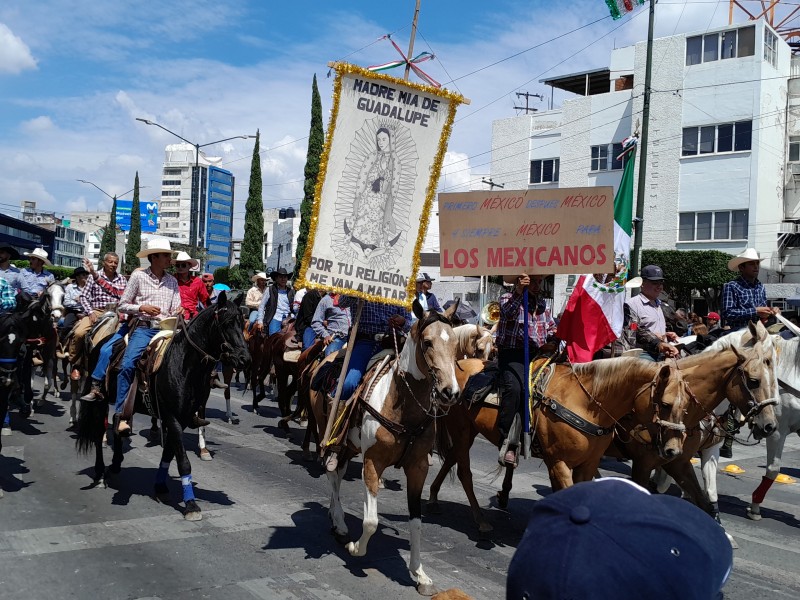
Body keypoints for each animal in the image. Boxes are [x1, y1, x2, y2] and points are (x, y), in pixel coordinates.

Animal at [76, 292, 250, 520]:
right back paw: (100, 475)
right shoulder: (172, 417)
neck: (183, 364)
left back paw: (115, 463)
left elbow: (169, 453)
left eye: (243, 323)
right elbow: (183, 460)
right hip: (101, 401)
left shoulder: (181, 419)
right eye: (227, 323)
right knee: (98, 435)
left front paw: (160, 487)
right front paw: (191, 505)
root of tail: (101, 342)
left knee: (118, 422)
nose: (245, 359)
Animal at [310, 302, 462, 596]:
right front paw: (355, 548)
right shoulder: (372, 462)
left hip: (349, 446)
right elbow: (371, 522)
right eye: (427, 342)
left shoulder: (418, 468)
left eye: (455, 344)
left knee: (338, 474)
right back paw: (341, 525)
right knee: (332, 473)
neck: (401, 405)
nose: (450, 392)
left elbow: (416, 522)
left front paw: (420, 575)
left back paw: (336, 518)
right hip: (329, 435)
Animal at [428, 354, 692, 532]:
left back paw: (433, 497)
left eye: (686, 406)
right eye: (665, 404)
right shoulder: (559, 462)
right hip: (461, 430)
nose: (674, 450)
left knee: (451, 457)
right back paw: (480, 520)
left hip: (468, 431)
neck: (589, 405)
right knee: (463, 471)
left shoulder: (587, 465)